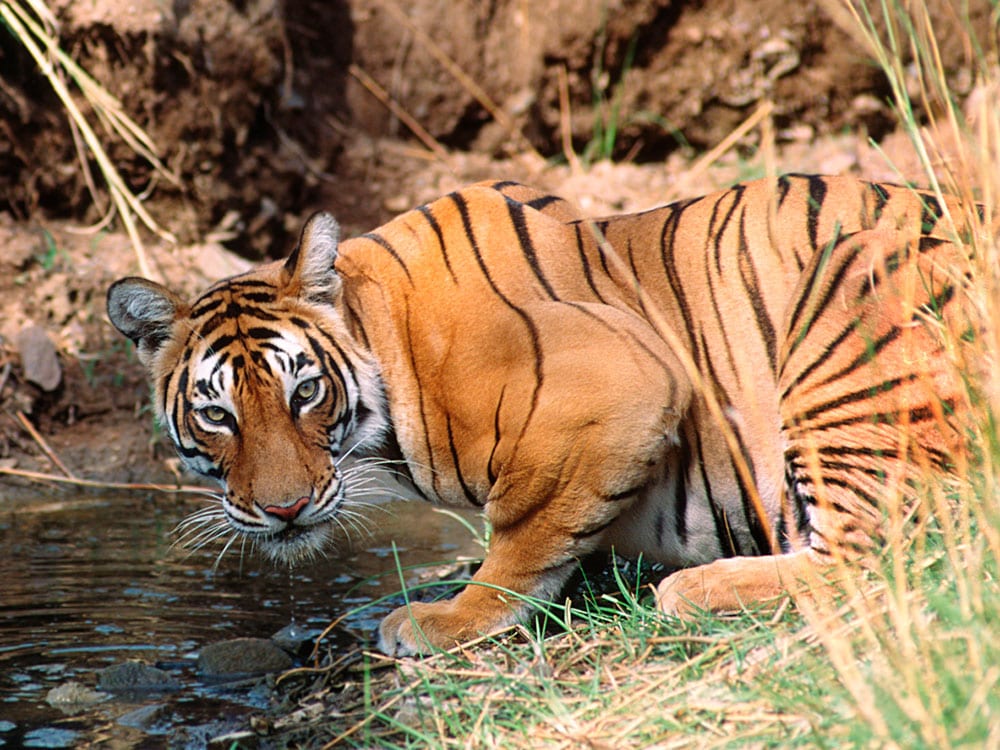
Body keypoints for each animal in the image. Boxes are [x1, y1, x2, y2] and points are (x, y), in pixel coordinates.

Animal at [107, 174, 975, 656]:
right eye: (218, 416)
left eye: (304, 393)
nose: (284, 510)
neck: (387, 336)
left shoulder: (622, 383)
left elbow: (523, 532)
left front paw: (450, 618)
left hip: (851, 284)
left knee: (883, 554)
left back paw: (689, 590)